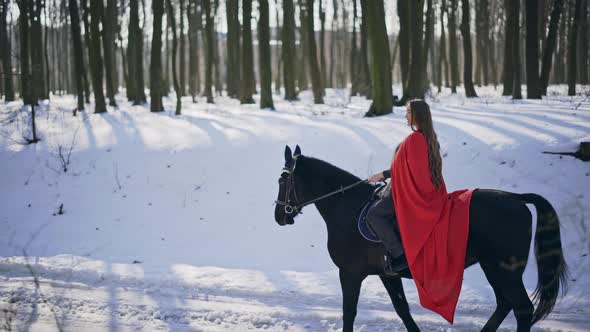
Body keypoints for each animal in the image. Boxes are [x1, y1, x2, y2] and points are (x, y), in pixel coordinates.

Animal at [276, 146, 572, 332]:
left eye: (282, 180)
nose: (280, 215)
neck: (346, 205)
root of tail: (517, 199)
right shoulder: (386, 274)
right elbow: (402, 309)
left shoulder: (350, 273)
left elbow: (349, 313)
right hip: (497, 269)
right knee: (505, 304)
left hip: (503, 270)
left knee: (521, 309)